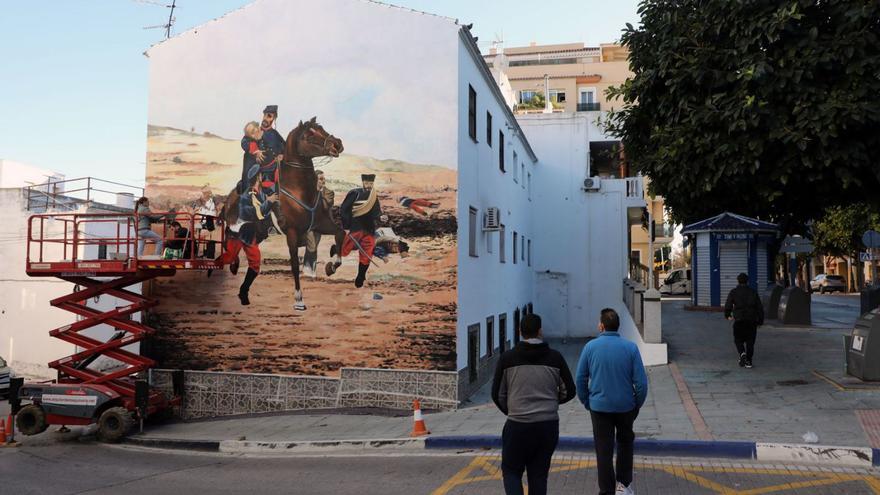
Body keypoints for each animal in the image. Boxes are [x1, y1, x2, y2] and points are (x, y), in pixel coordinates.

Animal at [223, 116, 344, 310]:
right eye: (309, 134)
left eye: (321, 128)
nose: (337, 144)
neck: (300, 190)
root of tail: (229, 198)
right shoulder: (292, 233)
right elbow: (294, 264)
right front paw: (299, 299)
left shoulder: (320, 224)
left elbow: (341, 233)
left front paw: (332, 266)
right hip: (237, 227)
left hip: (259, 232)